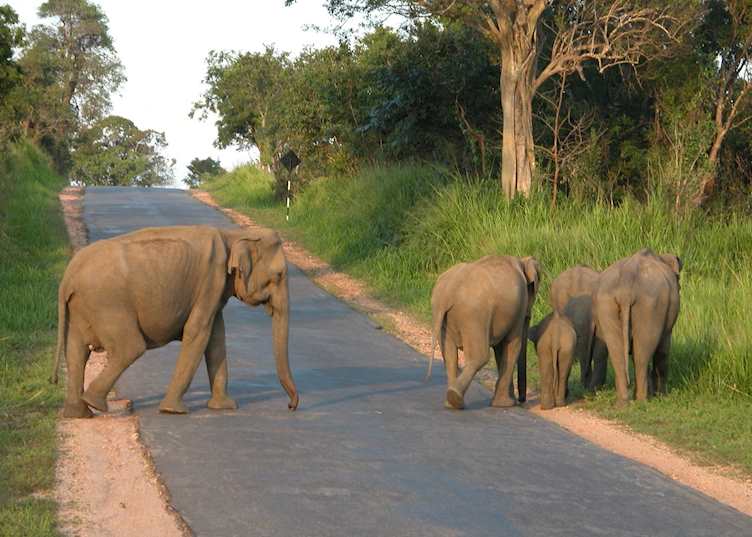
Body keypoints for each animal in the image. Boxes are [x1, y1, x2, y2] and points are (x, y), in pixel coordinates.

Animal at [52, 225, 299, 418]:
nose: (290, 406)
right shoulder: (212, 280)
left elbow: (216, 338)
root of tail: (68, 276)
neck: (233, 235)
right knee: (130, 348)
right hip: (108, 303)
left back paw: (79, 413)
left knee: (76, 352)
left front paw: (225, 407)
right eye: (279, 275)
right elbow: (198, 333)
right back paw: (94, 403)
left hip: (81, 307)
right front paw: (174, 410)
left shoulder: (214, 291)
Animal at [428, 255, 540, 410]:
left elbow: (501, 350)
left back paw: (450, 403)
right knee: (480, 357)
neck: (522, 260)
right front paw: (505, 404)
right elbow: (512, 346)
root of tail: (448, 291)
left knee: (449, 355)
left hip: (443, 315)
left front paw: (505, 402)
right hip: (474, 317)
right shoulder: (519, 307)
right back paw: (455, 399)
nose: (521, 400)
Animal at [592, 248, 681, 405]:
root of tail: (626, 284)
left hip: (606, 304)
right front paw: (661, 396)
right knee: (642, 355)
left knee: (617, 353)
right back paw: (641, 400)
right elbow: (663, 349)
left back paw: (622, 402)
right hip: (650, 306)